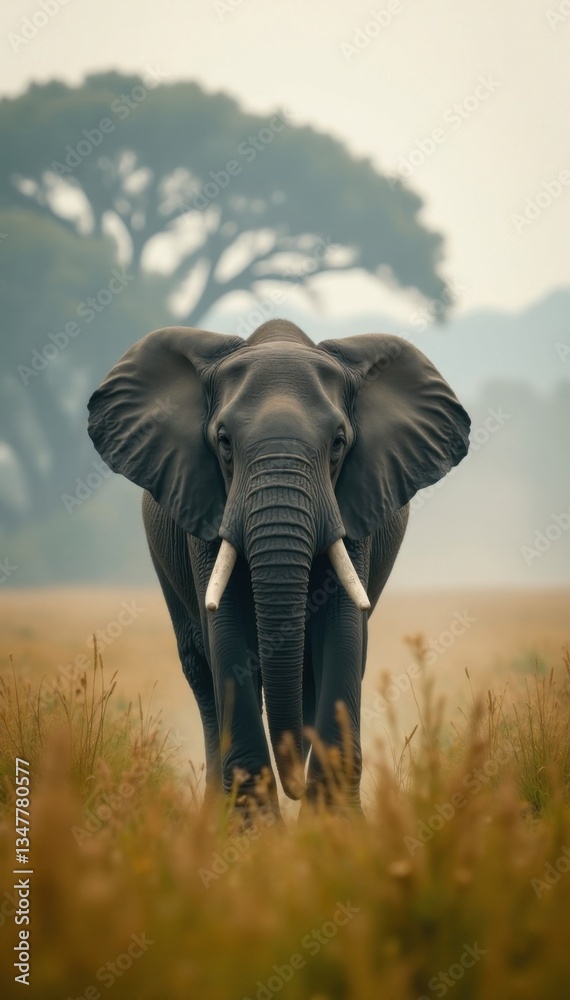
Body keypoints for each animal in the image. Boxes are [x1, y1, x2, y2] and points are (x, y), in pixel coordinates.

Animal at [87, 318, 470, 815]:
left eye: (338, 444)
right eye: (224, 443)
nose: (296, 787)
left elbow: (343, 630)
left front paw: (333, 825)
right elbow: (226, 632)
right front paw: (253, 829)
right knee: (200, 671)